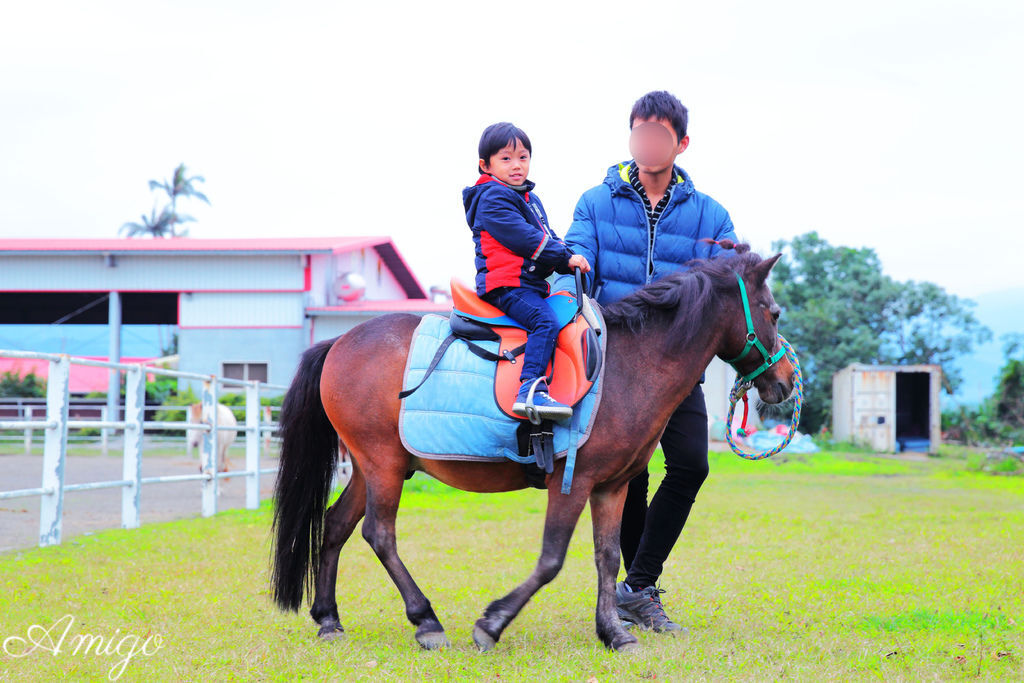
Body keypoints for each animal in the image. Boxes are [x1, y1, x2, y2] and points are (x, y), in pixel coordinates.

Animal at [268, 245, 794, 651]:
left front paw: (614, 633)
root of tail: (340, 340)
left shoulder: (612, 487)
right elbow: (551, 559)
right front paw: (492, 624)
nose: (787, 382)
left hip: (370, 466)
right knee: (379, 534)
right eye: (773, 312)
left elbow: (607, 557)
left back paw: (329, 619)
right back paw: (426, 621)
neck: (631, 365)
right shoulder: (572, 482)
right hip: (383, 464)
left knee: (335, 526)